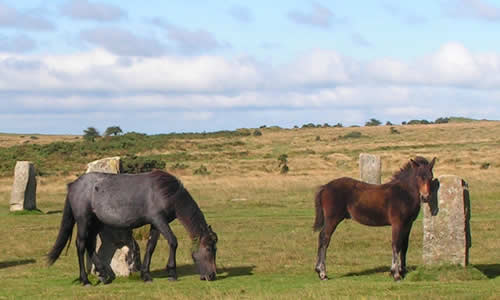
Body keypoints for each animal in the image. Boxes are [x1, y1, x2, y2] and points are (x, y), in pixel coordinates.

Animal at [47, 170, 218, 284]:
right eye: (209, 249)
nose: (212, 276)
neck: (166, 192)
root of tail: (73, 185)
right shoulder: (159, 220)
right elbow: (173, 242)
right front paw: (172, 273)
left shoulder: (156, 224)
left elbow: (151, 246)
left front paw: (146, 275)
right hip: (83, 220)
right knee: (81, 245)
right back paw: (85, 280)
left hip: (95, 222)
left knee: (89, 245)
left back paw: (104, 275)